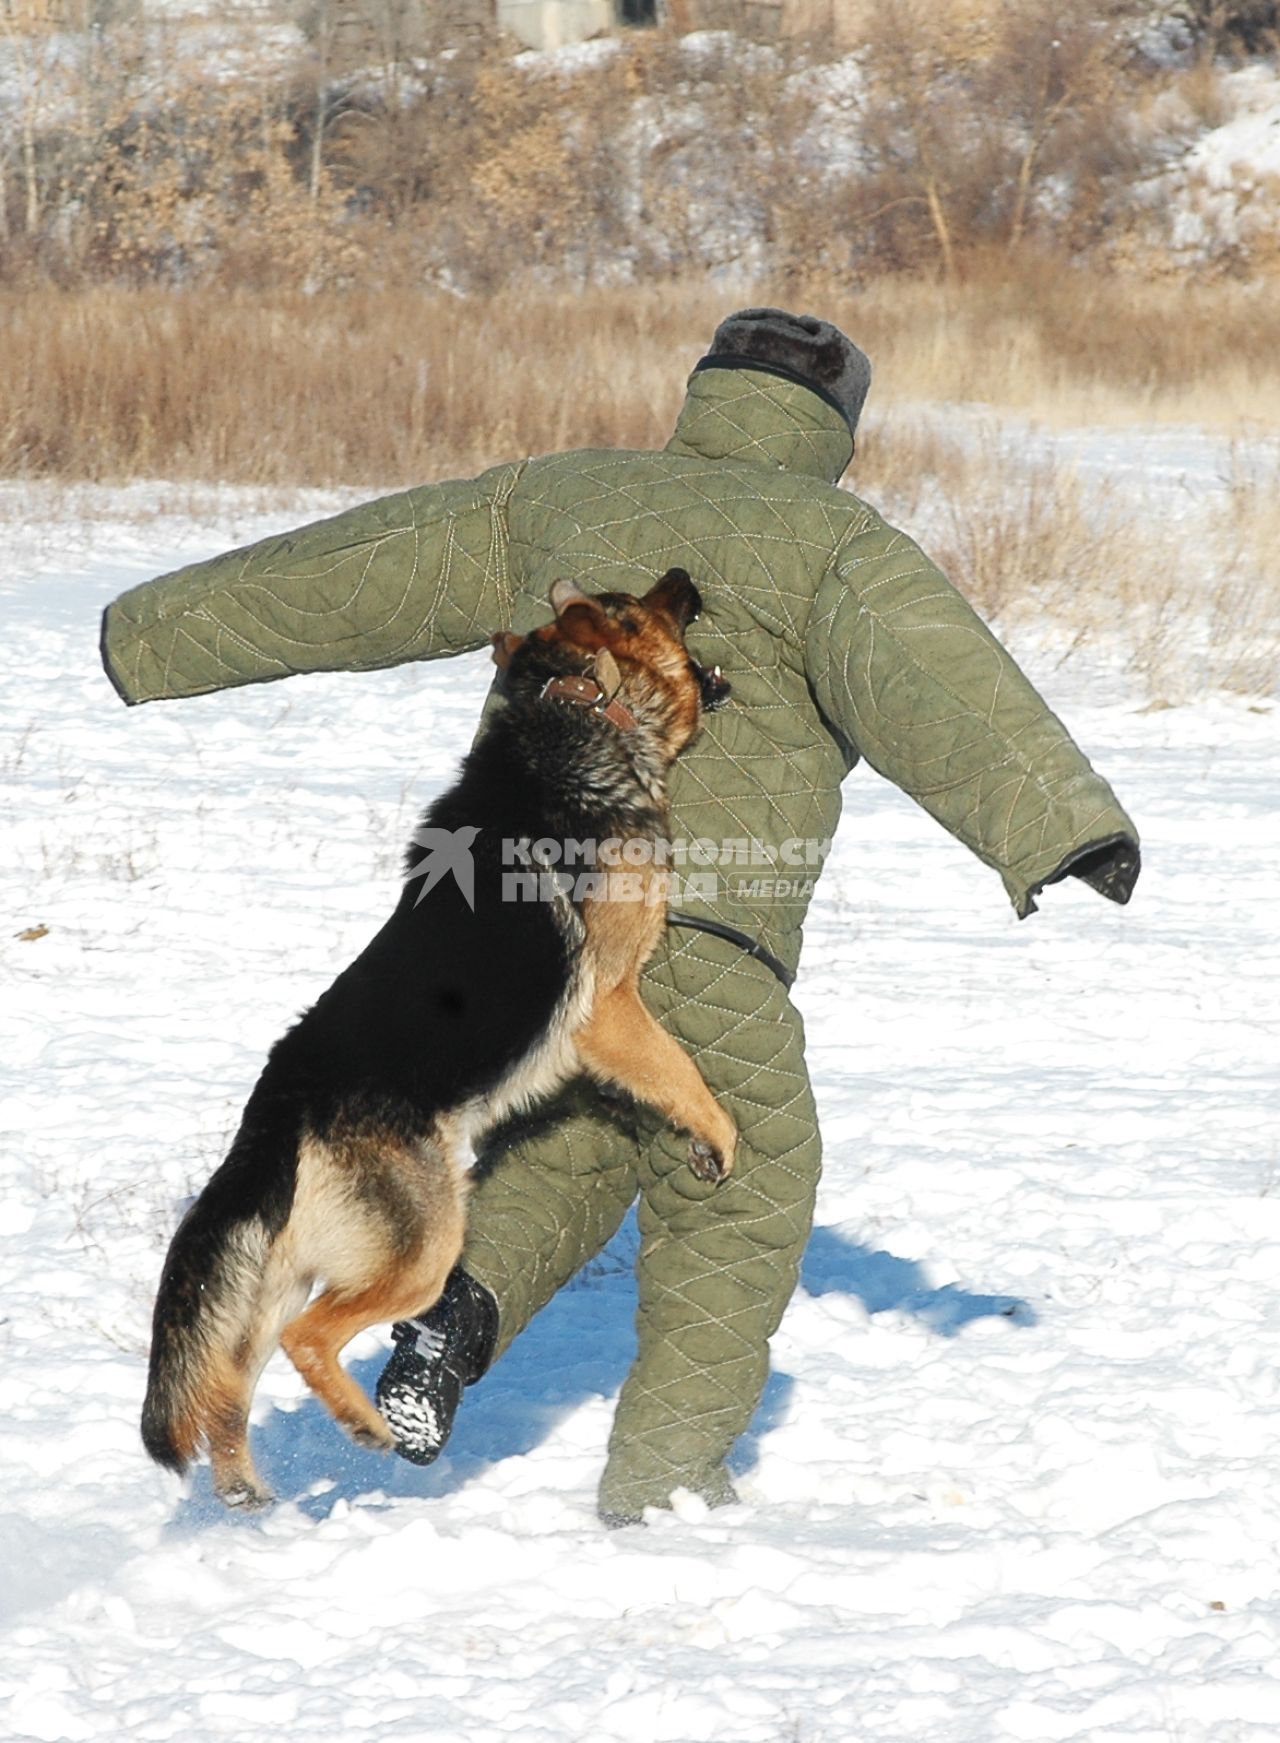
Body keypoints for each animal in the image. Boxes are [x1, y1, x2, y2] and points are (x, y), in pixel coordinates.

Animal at [142, 564, 732, 1505]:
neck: (574, 708)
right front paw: (717, 1136)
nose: (685, 576)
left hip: (286, 1272)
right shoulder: (609, 1005)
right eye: (636, 609)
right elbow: (684, 1078)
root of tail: (279, 1103)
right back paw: (369, 1426)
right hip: (425, 1244)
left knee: (234, 1372)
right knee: (312, 1336)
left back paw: (245, 1485)